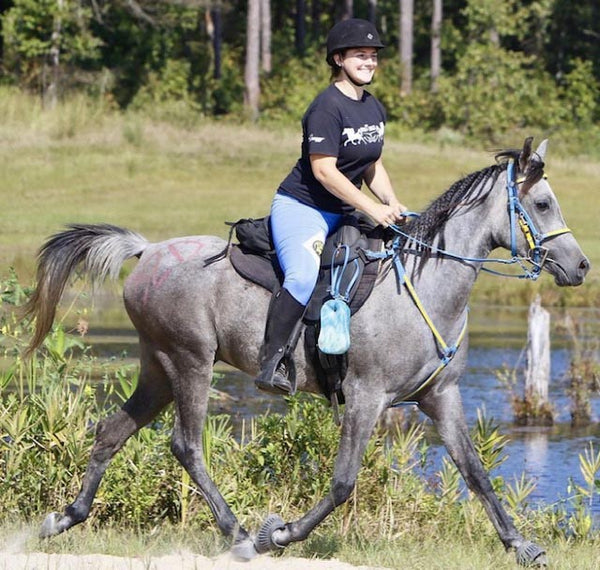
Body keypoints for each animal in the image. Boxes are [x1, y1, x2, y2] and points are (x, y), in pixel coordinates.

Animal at [25, 139, 588, 564]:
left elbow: (475, 472)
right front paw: (277, 534)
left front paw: (522, 545)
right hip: (190, 362)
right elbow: (342, 483)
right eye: (542, 205)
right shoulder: (365, 396)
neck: (425, 286)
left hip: (158, 367)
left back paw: (61, 519)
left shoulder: (441, 397)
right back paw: (238, 534)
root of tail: (147, 252)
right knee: (186, 445)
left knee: (111, 432)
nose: (581, 266)